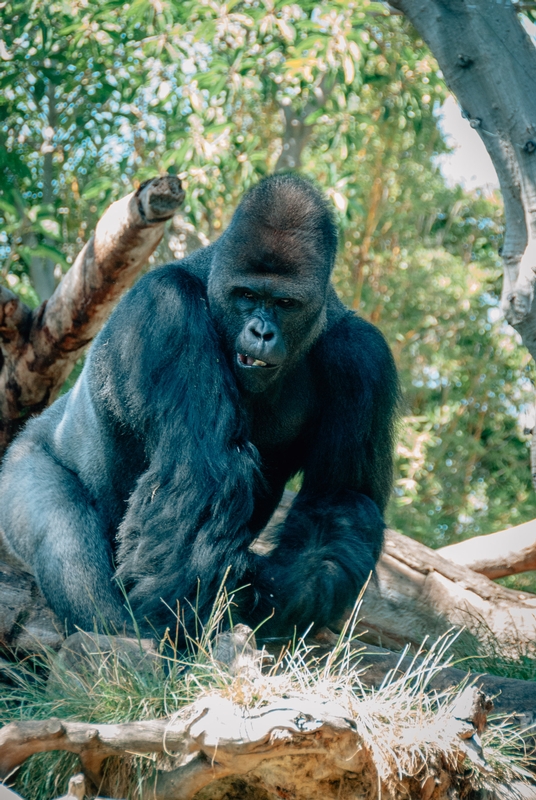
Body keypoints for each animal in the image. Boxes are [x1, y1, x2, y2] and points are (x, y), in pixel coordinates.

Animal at [0, 175, 398, 636]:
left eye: (284, 303)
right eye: (247, 295)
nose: (261, 332)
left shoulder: (363, 356)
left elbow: (340, 498)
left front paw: (281, 594)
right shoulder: (167, 306)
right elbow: (202, 472)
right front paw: (171, 620)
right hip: (21, 467)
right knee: (65, 537)